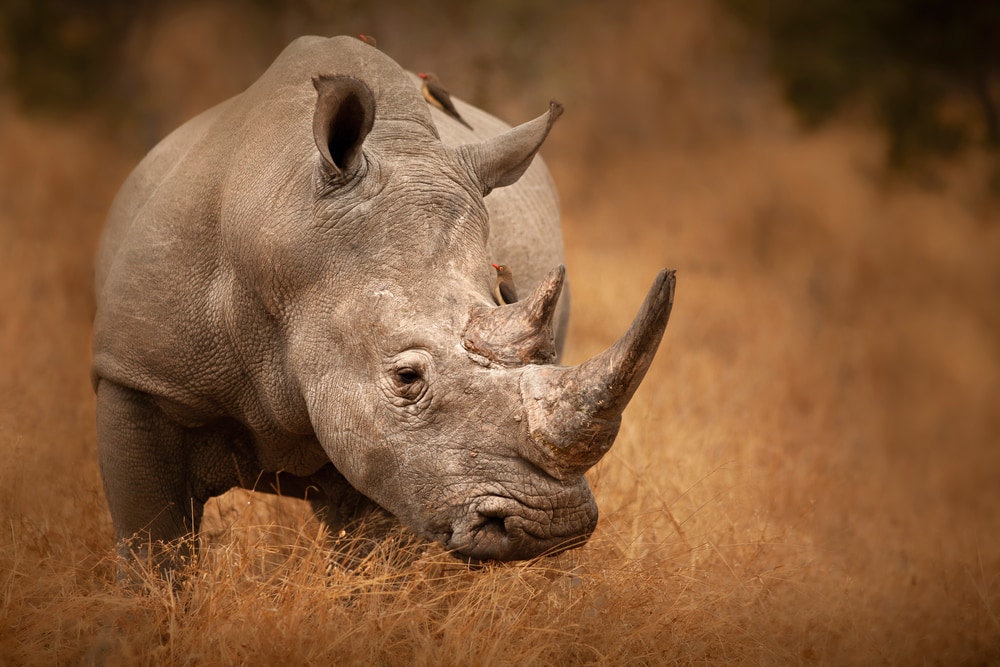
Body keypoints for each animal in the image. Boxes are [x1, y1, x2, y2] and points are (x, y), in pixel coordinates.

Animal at [92, 35, 675, 571]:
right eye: (406, 378)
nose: (555, 523)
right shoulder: (137, 377)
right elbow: (153, 547)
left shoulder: (399, 458)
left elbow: (373, 559)